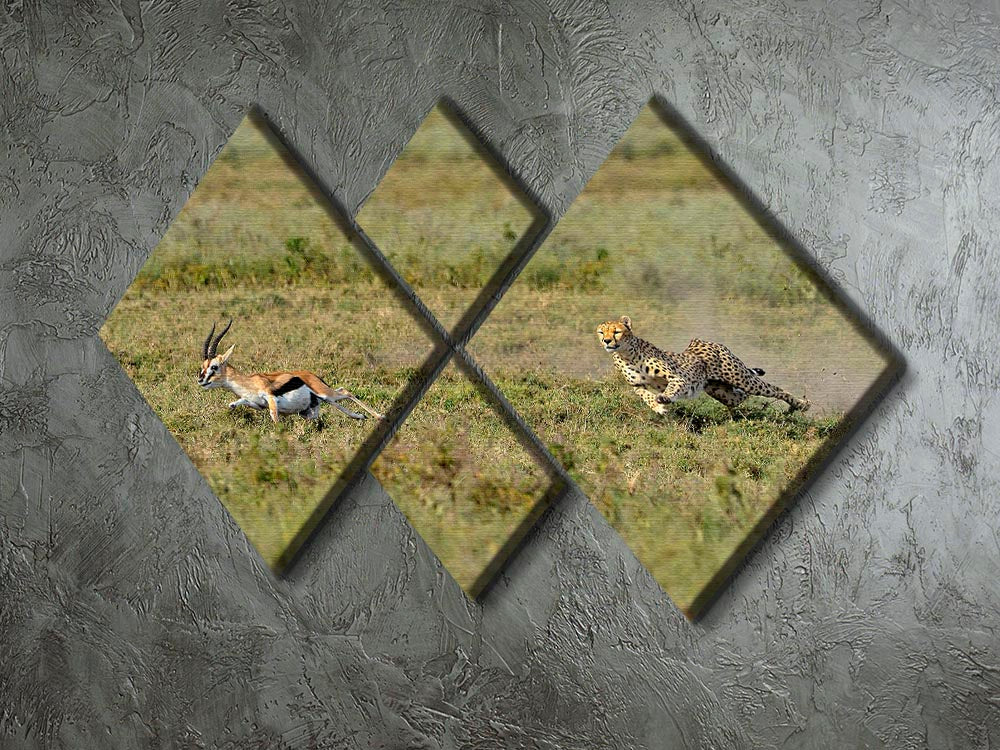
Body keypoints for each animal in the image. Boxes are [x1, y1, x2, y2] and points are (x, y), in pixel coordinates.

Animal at [595, 315, 810, 416]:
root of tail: (708, 342)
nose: (606, 341)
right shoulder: (637, 385)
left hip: (742, 378)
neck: (626, 354)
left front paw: (664, 398)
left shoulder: (678, 377)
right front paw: (658, 407)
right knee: (741, 397)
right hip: (722, 392)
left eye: (616, 331)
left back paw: (802, 404)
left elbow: (671, 387)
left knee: (775, 389)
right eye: (601, 332)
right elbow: (645, 395)